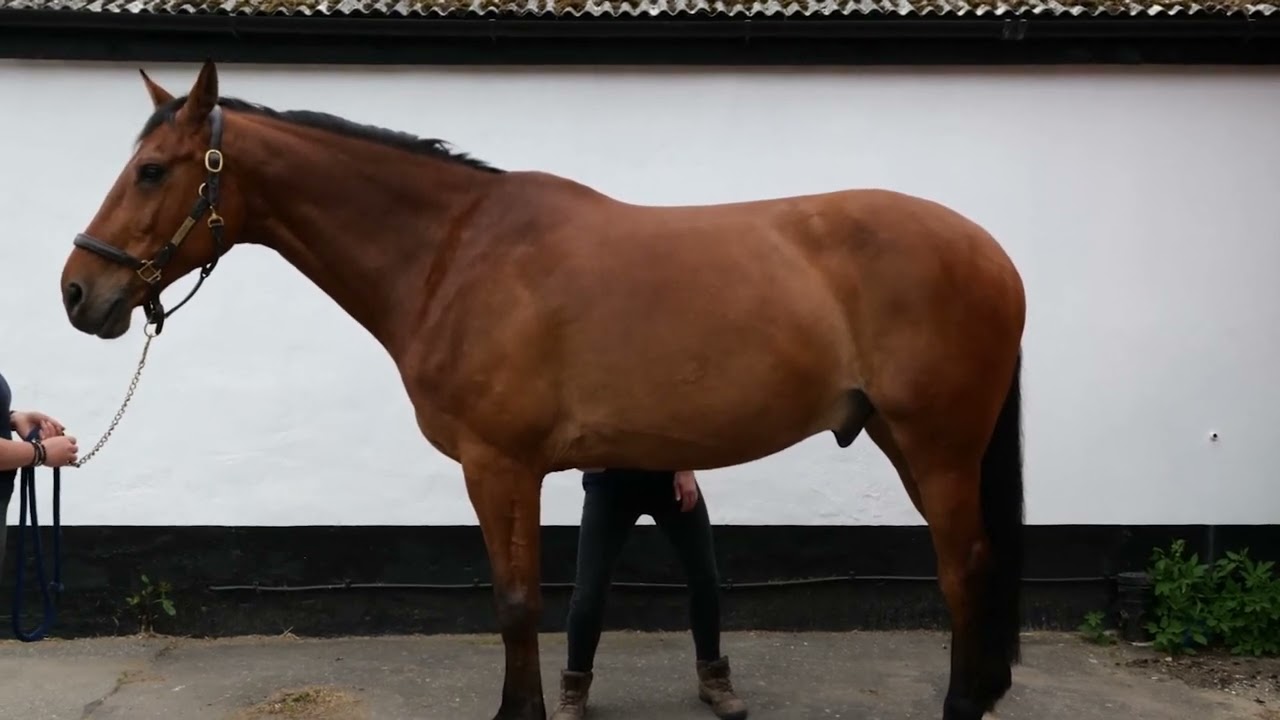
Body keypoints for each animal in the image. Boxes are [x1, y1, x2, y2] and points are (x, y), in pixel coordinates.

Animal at [57, 61, 1027, 720]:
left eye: (152, 170)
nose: (76, 292)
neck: (453, 252)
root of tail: (990, 250)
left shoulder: (499, 465)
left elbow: (516, 602)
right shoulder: (514, 470)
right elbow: (520, 597)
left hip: (937, 446)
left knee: (964, 566)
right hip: (905, 438)